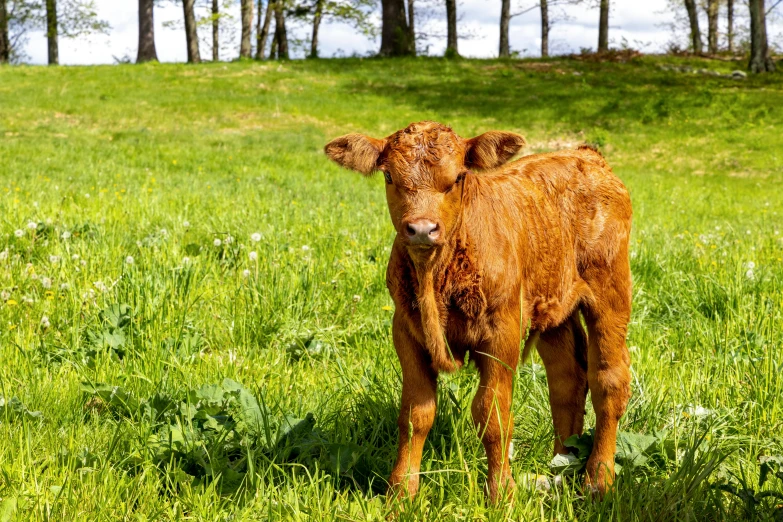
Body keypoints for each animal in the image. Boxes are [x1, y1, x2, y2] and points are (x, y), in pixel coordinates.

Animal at [326, 121, 636, 500]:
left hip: (610, 291)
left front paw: (501, 494)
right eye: (388, 176)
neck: (437, 279)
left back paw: (598, 479)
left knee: (609, 379)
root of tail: (586, 155)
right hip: (554, 307)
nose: (422, 229)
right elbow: (415, 414)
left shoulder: (502, 333)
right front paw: (401, 493)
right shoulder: (405, 331)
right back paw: (561, 467)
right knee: (567, 379)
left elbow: (492, 414)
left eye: (459, 176)